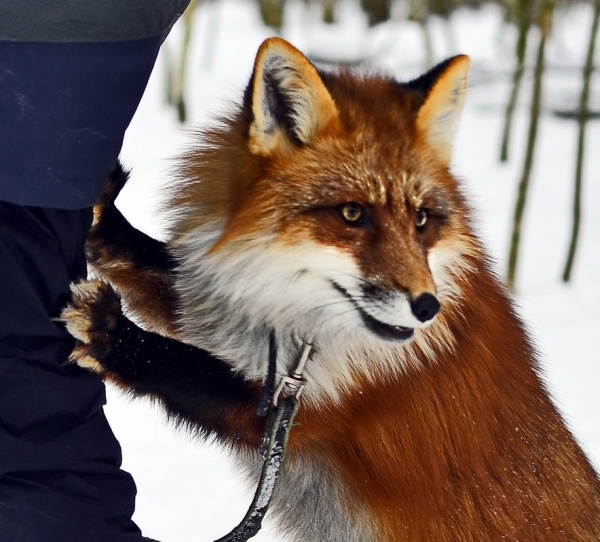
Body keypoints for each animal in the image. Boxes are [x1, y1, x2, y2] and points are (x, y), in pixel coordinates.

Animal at [61, 36, 600, 540]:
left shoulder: (305, 412)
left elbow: (183, 368)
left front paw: (115, 336)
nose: (428, 307)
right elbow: (155, 271)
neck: (293, 326)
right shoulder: (217, 313)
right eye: (352, 214)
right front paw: (104, 221)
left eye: (421, 220)